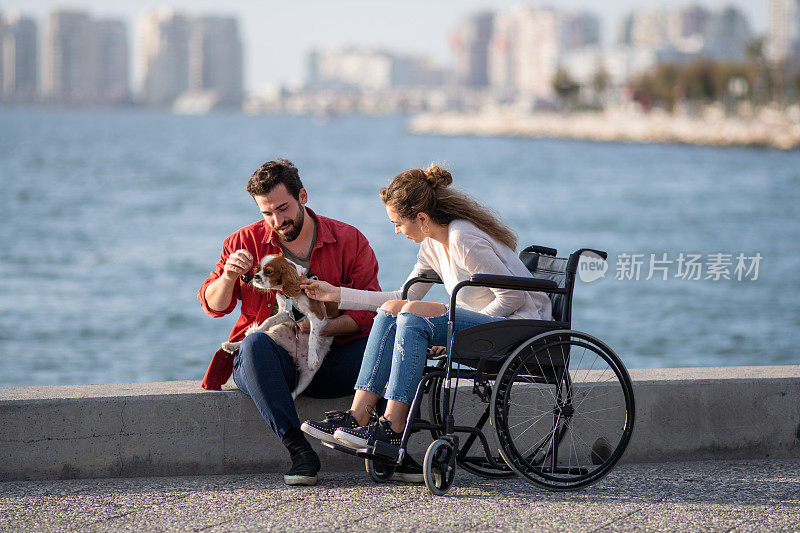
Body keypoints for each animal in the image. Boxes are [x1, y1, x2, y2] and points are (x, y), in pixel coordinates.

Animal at [220, 255, 340, 400]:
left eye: (268, 271)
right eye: (257, 269)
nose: (255, 276)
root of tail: (297, 354)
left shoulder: (317, 315)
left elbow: (312, 336)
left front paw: (312, 358)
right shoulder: (286, 314)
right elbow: (268, 320)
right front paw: (257, 328)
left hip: (308, 377)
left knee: (295, 393)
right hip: (275, 333)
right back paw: (231, 345)